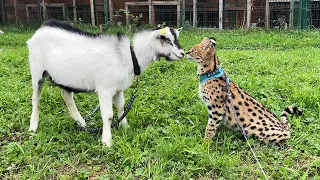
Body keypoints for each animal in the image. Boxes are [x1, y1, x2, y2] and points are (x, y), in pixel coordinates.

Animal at [27, 19, 185, 146]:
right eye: (166, 39)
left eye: (176, 38)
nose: (182, 53)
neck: (130, 56)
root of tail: (39, 31)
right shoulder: (105, 89)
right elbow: (108, 115)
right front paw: (107, 141)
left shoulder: (118, 89)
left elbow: (121, 107)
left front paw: (125, 126)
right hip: (37, 71)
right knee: (36, 98)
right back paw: (33, 126)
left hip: (64, 78)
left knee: (67, 97)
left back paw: (81, 122)